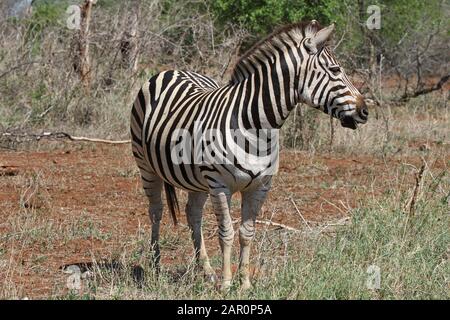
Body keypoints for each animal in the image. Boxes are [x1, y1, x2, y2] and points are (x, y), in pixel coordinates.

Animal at [129, 19, 366, 290]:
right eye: (336, 70)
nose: (365, 111)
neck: (257, 127)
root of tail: (171, 70)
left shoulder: (260, 187)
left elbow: (246, 233)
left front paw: (244, 283)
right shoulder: (219, 185)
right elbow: (227, 233)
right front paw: (226, 284)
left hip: (197, 179)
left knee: (193, 213)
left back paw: (206, 271)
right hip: (146, 166)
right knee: (156, 211)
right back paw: (156, 266)